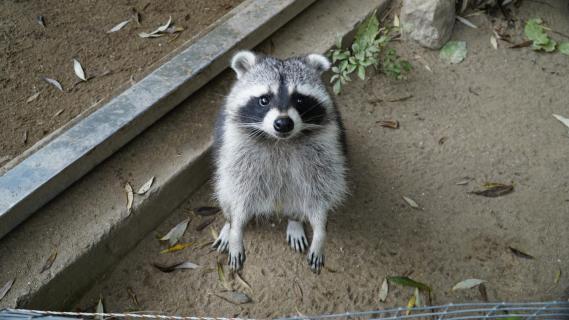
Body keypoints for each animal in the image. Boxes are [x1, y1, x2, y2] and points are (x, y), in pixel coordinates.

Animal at [212, 50, 346, 272]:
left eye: (299, 99)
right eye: (264, 100)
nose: (283, 123)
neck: (280, 141)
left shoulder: (324, 150)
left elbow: (319, 191)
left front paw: (320, 231)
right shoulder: (237, 151)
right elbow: (239, 191)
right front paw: (235, 229)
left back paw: (295, 220)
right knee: (225, 191)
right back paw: (227, 224)